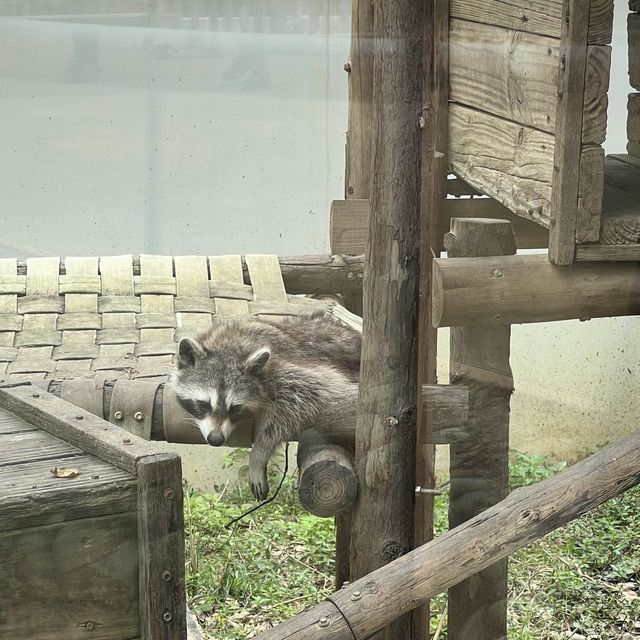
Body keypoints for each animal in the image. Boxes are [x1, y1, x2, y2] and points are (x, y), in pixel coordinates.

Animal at [169, 312, 360, 502]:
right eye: (203, 404)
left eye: (235, 408)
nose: (216, 439)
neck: (229, 345)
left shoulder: (284, 369)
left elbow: (308, 396)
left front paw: (258, 453)